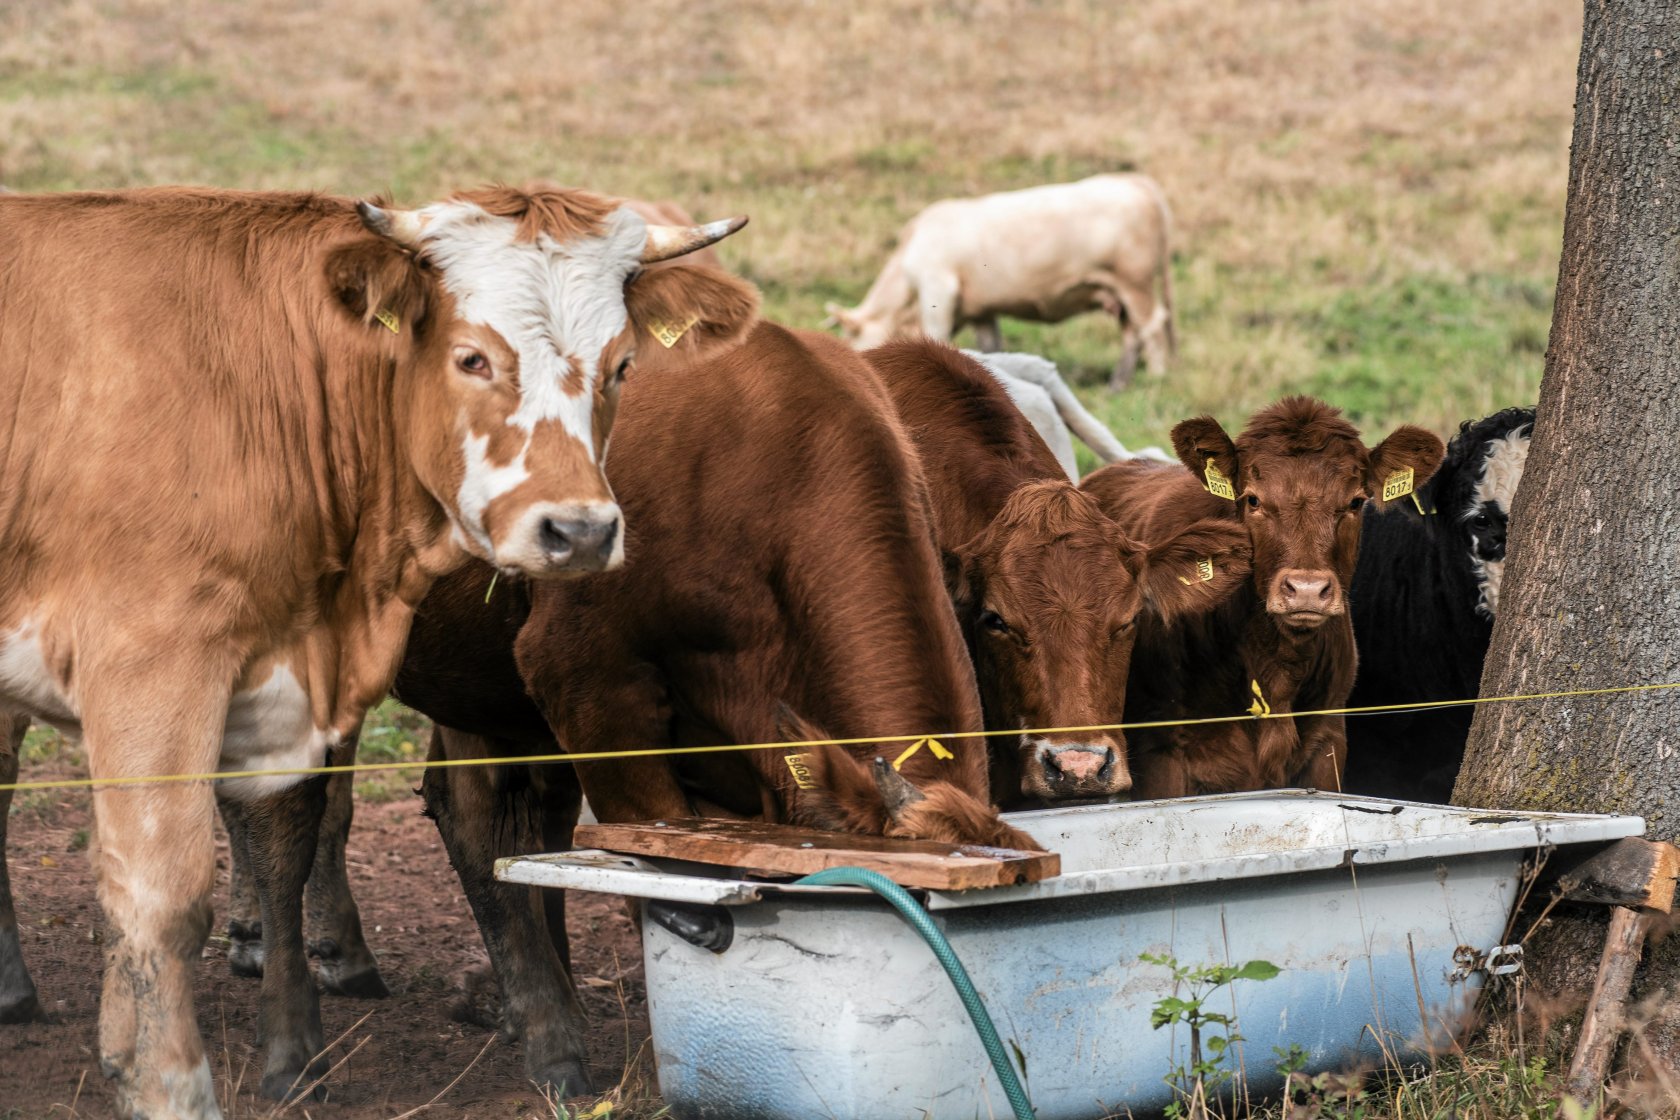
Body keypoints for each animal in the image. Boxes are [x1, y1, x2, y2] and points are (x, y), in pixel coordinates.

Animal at [0, 186, 742, 1120]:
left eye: (621, 367)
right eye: (470, 358)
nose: (577, 532)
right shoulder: (150, 670)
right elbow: (161, 902)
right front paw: (167, 1084)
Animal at [829, 172, 1176, 387]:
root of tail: (1132, 180)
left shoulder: (938, 288)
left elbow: (936, 334)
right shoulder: (982, 311)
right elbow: (992, 346)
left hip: (1135, 284)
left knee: (1153, 327)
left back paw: (1157, 377)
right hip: (1120, 293)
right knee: (1133, 334)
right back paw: (1118, 384)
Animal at [1081, 397, 1451, 802]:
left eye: (1355, 503)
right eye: (1253, 500)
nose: (1307, 589)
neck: (1275, 665)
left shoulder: (1328, 743)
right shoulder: (1162, 753)